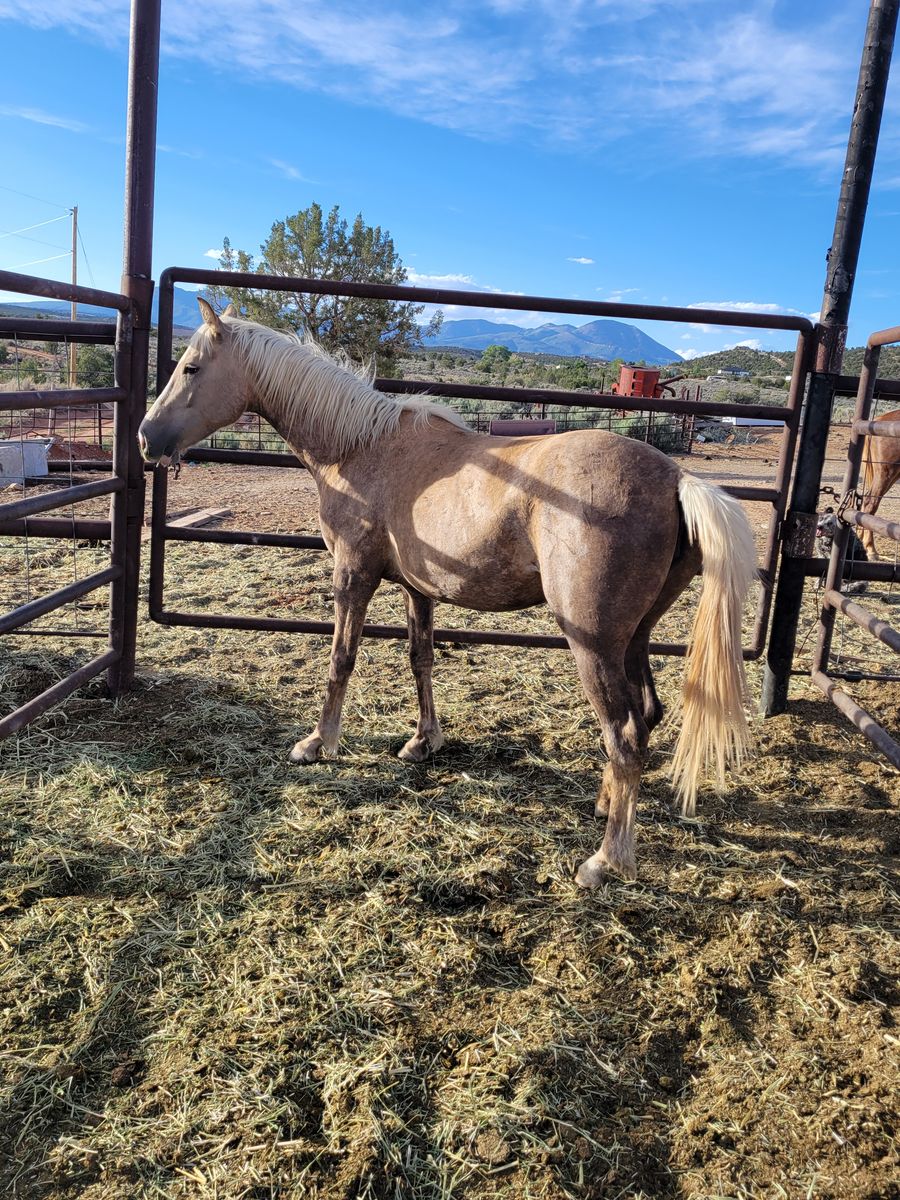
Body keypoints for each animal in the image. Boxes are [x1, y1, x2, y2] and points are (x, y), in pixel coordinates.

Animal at [138, 299, 757, 885]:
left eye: (191, 367)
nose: (147, 437)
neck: (360, 447)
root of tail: (676, 477)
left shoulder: (352, 576)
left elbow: (341, 659)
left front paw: (317, 743)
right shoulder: (419, 589)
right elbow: (421, 659)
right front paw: (423, 742)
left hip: (595, 643)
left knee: (625, 735)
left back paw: (605, 860)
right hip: (634, 637)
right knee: (645, 717)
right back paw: (607, 803)